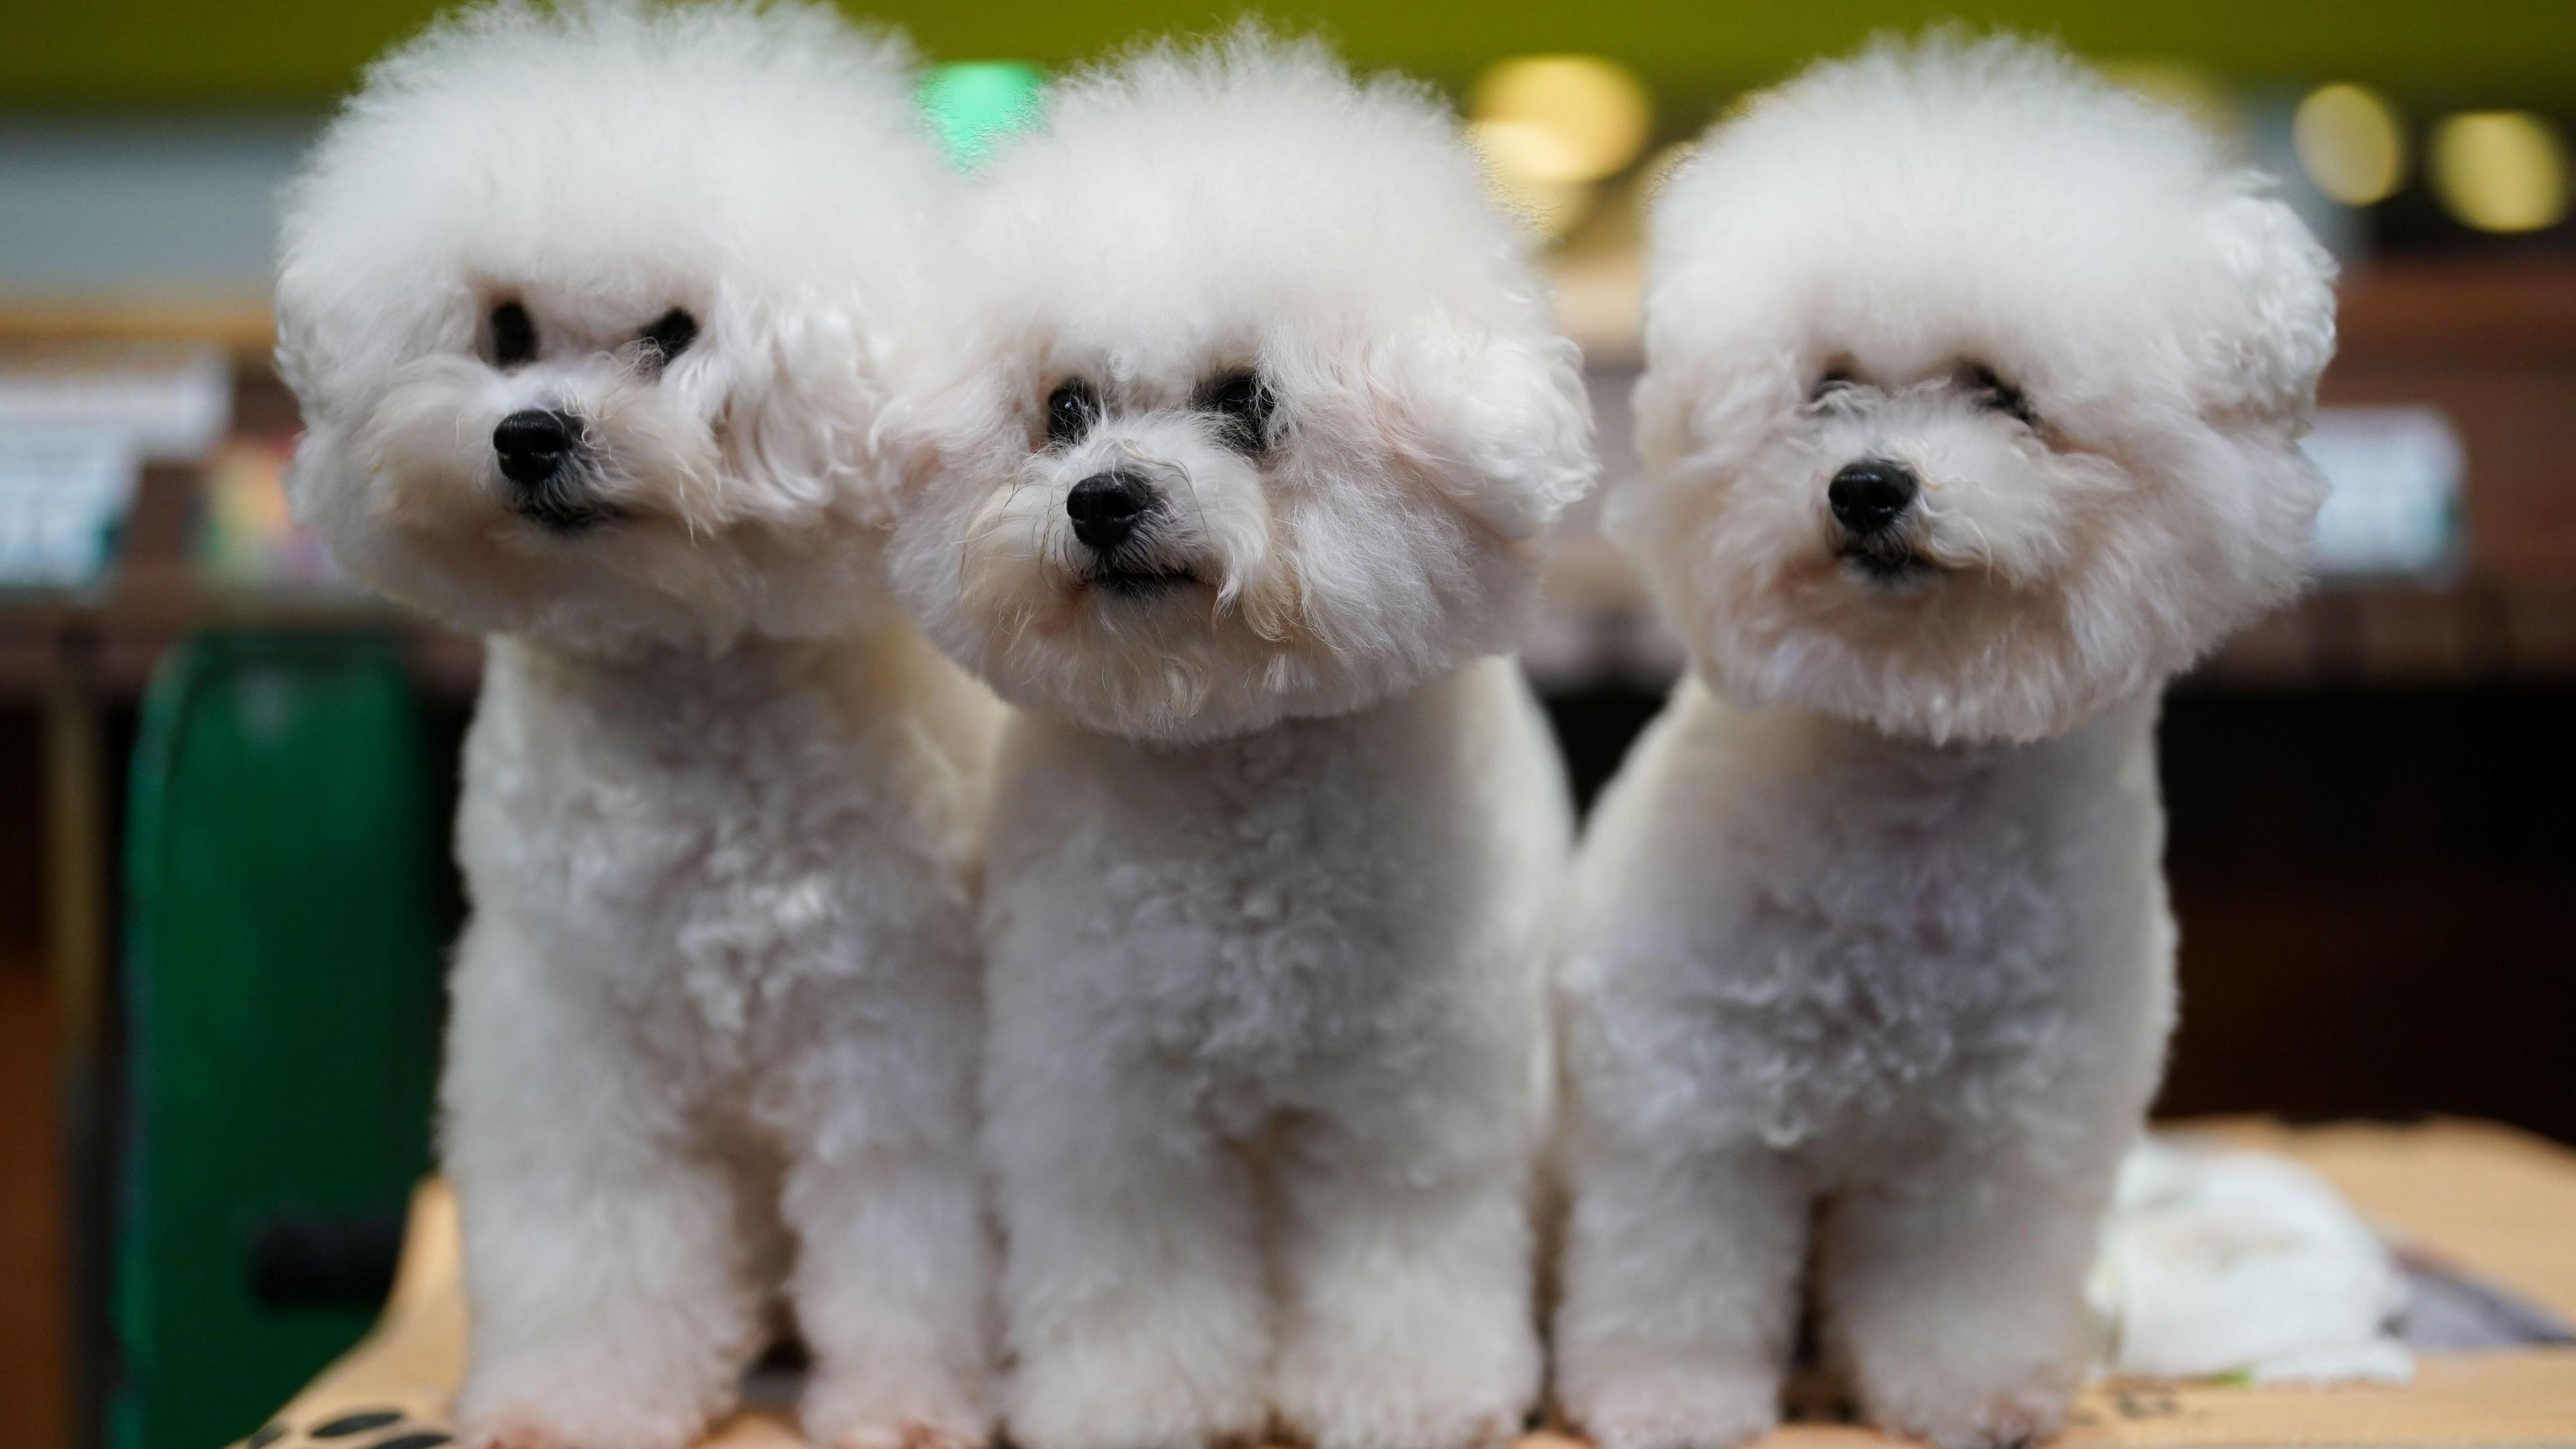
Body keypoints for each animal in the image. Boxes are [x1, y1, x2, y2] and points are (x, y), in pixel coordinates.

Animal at [276, 3, 989, 1444]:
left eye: (673, 333)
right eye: (503, 327)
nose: (530, 436)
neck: (684, 685)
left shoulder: (893, 1028)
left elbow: (906, 1226)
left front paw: (907, 1410)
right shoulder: (573, 1033)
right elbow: (597, 1233)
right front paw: (573, 1402)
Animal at [896, 31, 1597, 1444]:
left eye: (1248, 402)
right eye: (1065, 410)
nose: (1104, 500)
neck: (1236, 759)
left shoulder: (1412, 1093)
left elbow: (1402, 1252)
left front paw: (1407, 1397)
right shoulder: (1110, 1087)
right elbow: (1136, 1262)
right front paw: (1129, 1401)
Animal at [1546, 34, 2339, 1444]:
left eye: (2003, 397)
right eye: (1828, 387)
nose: (1868, 488)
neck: (1917, 758)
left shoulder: (1998, 1138)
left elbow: (1959, 1284)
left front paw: (1970, 1395)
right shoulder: (1689, 1102)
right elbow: (1678, 1269)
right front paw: (1667, 1400)